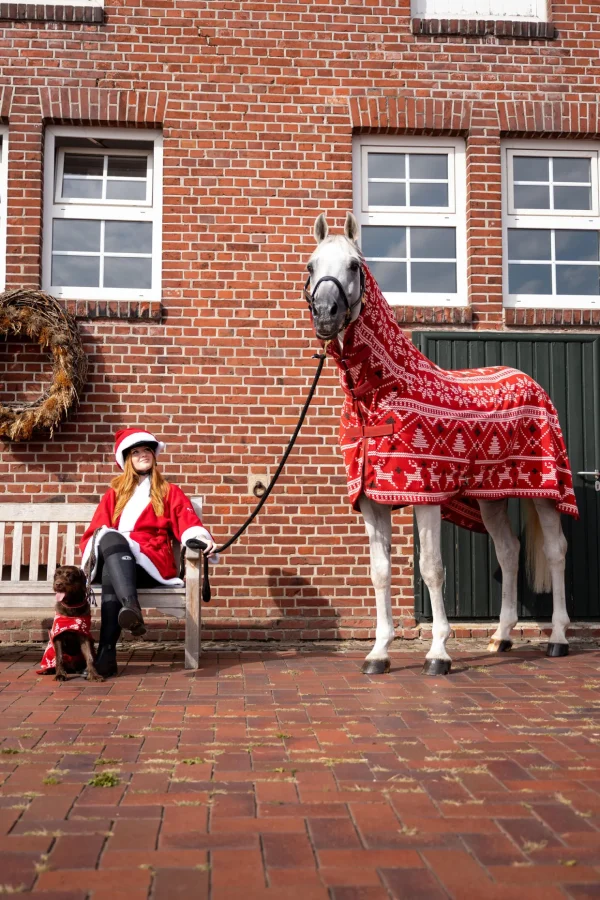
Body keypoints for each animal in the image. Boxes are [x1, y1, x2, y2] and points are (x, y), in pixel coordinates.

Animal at [310, 213, 572, 676]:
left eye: (354, 266)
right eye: (310, 267)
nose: (325, 313)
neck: (380, 395)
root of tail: (532, 383)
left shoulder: (425, 497)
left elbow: (432, 569)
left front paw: (438, 653)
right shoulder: (373, 501)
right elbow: (380, 572)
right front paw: (379, 653)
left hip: (543, 491)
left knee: (556, 551)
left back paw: (557, 638)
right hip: (491, 496)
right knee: (509, 551)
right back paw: (502, 637)